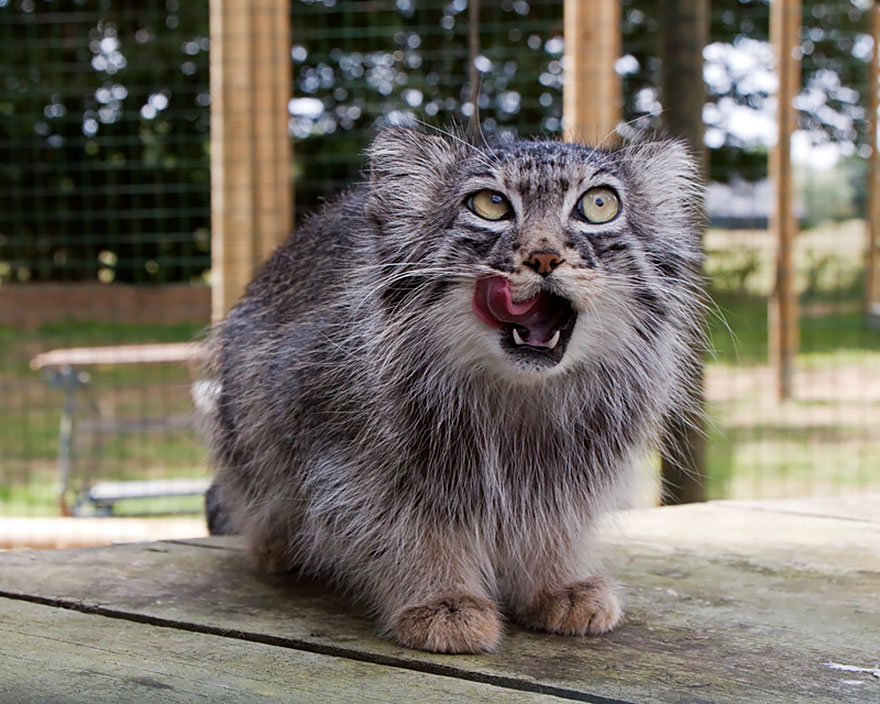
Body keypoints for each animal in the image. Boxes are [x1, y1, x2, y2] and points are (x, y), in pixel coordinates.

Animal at [203, 126, 704, 656]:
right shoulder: (352, 455)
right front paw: (442, 600)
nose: (544, 256)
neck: (518, 396)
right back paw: (277, 546)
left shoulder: (567, 466)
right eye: (490, 205)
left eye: (599, 204)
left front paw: (557, 582)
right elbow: (408, 529)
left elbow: (552, 522)